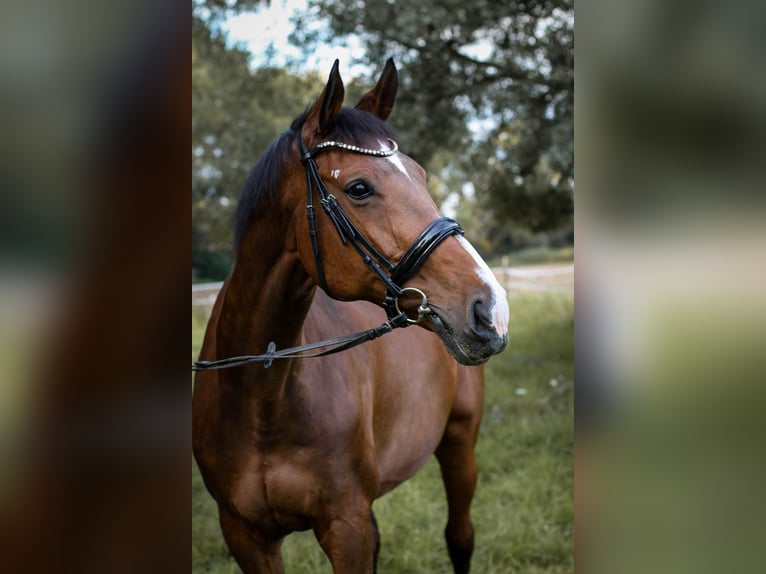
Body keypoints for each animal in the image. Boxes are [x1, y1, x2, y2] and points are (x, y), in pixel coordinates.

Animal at [192, 58, 509, 574]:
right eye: (359, 187)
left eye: (420, 176)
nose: (492, 307)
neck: (262, 393)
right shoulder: (245, 535)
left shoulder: (346, 526)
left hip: (460, 443)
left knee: (460, 536)